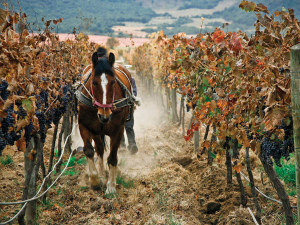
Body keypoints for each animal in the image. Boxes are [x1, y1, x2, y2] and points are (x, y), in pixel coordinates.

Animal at [75, 47, 135, 193]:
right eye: (94, 82)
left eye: (113, 82)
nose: (104, 115)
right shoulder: (84, 125)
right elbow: (89, 150)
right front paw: (95, 181)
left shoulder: (118, 130)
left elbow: (113, 157)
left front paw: (111, 186)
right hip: (96, 131)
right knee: (100, 149)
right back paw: (101, 173)